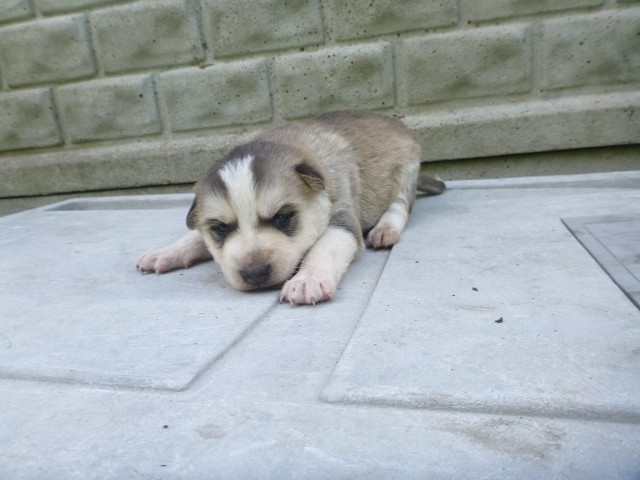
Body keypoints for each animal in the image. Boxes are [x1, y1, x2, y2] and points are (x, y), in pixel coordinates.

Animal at [137, 111, 442, 304]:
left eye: (282, 218)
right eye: (221, 229)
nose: (254, 274)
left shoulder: (342, 215)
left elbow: (325, 245)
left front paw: (307, 280)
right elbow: (193, 236)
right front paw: (165, 253)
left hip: (406, 172)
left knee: (400, 206)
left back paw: (385, 228)